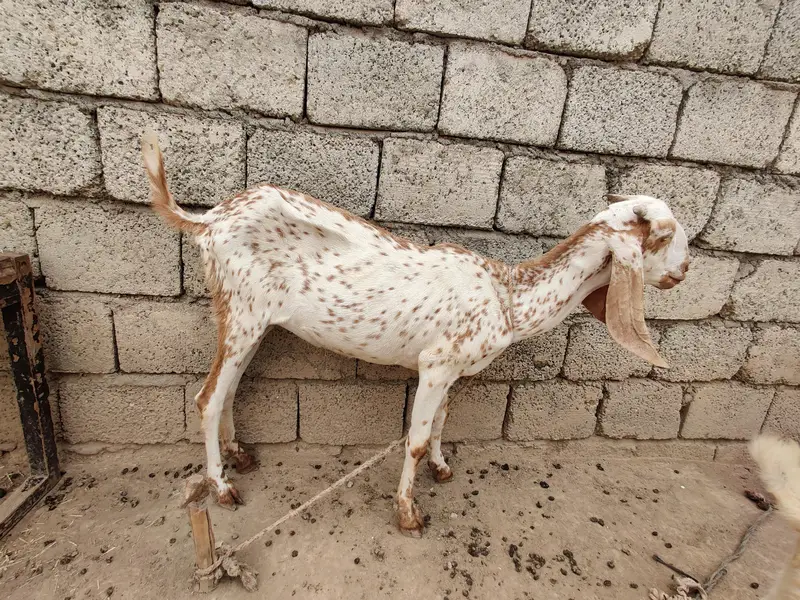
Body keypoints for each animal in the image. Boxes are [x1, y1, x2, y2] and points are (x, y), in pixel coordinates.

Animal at [141, 132, 690, 536]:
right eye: (663, 237)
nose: (683, 272)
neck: (508, 297)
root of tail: (207, 220)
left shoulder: (453, 370)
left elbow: (443, 421)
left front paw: (443, 470)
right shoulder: (435, 364)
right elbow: (417, 438)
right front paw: (408, 513)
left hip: (249, 319)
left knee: (228, 389)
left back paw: (239, 455)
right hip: (242, 311)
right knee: (206, 397)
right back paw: (222, 488)